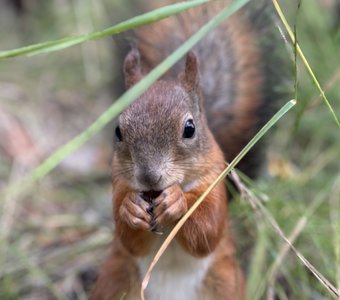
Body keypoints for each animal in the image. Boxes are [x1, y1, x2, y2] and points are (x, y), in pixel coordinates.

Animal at [91, 0, 286, 300]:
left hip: (225, 283)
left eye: (190, 128)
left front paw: (178, 202)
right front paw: (130, 208)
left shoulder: (215, 182)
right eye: (118, 131)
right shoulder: (119, 184)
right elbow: (128, 239)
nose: (149, 177)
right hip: (115, 280)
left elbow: (208, 231)